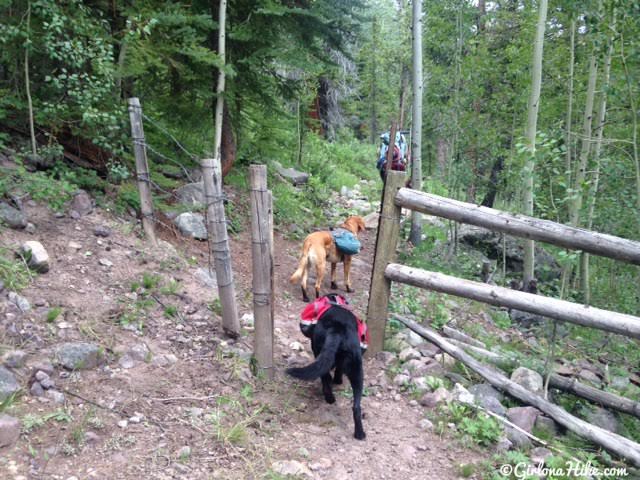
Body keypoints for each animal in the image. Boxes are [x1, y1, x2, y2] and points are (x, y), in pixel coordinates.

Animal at [284, 302, 364, 440]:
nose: (303, 327)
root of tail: (337, 328)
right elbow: (337, 371)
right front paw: (338, 381)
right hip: (357, 369)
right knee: (356, 407)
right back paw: (360, 434)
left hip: (324, 354)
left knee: (326, 378)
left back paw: (329, 398)